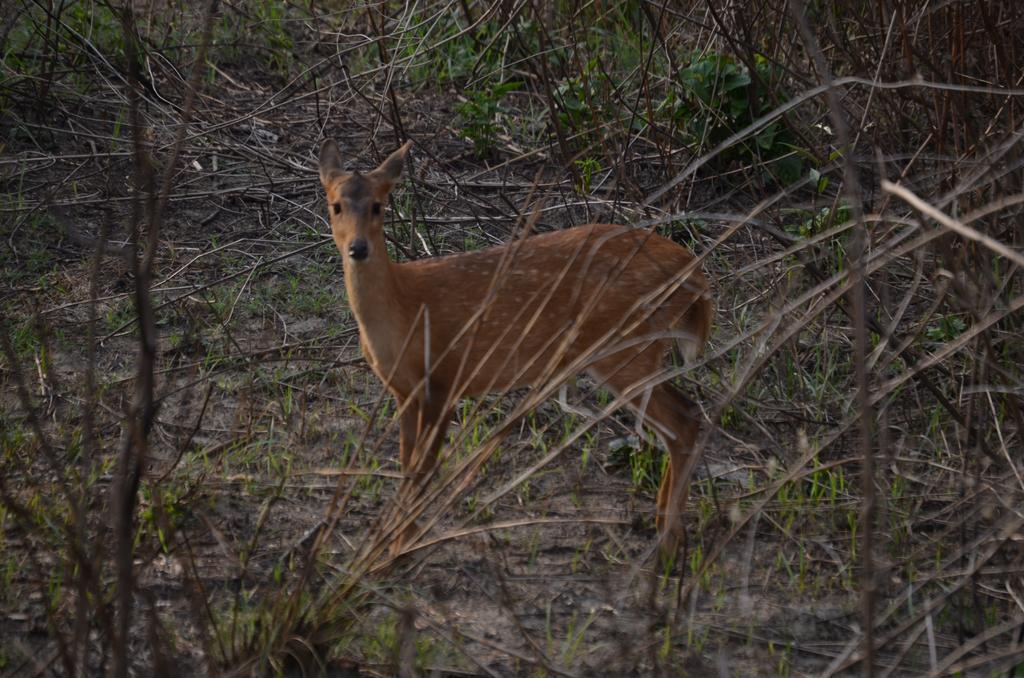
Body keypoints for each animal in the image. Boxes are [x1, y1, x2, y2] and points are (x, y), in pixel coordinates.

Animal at [317, 140, 712, 561]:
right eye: (336, 205)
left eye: (378, 205)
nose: (358, 248)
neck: (403, 311)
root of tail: (692, 271)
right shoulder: (403, 389)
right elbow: (408, 466)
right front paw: (391, 543)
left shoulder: (445, 379)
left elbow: (423, 470)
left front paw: (398, 548)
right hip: (637, 349)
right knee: (684, 415)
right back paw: (665, 527)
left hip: (624, 345)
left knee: (682, 420)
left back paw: (668, 540)